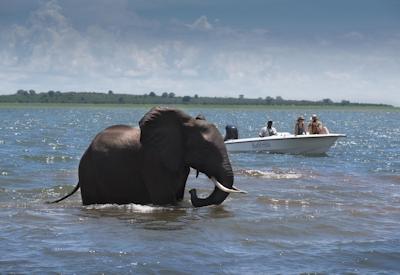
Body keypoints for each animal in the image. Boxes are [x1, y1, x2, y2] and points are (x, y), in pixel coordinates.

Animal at [51, 106, 245, 208]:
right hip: (88, 172)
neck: (183, 124)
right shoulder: (152, 162)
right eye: (205, 150)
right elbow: (164, 199)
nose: (193, 191)